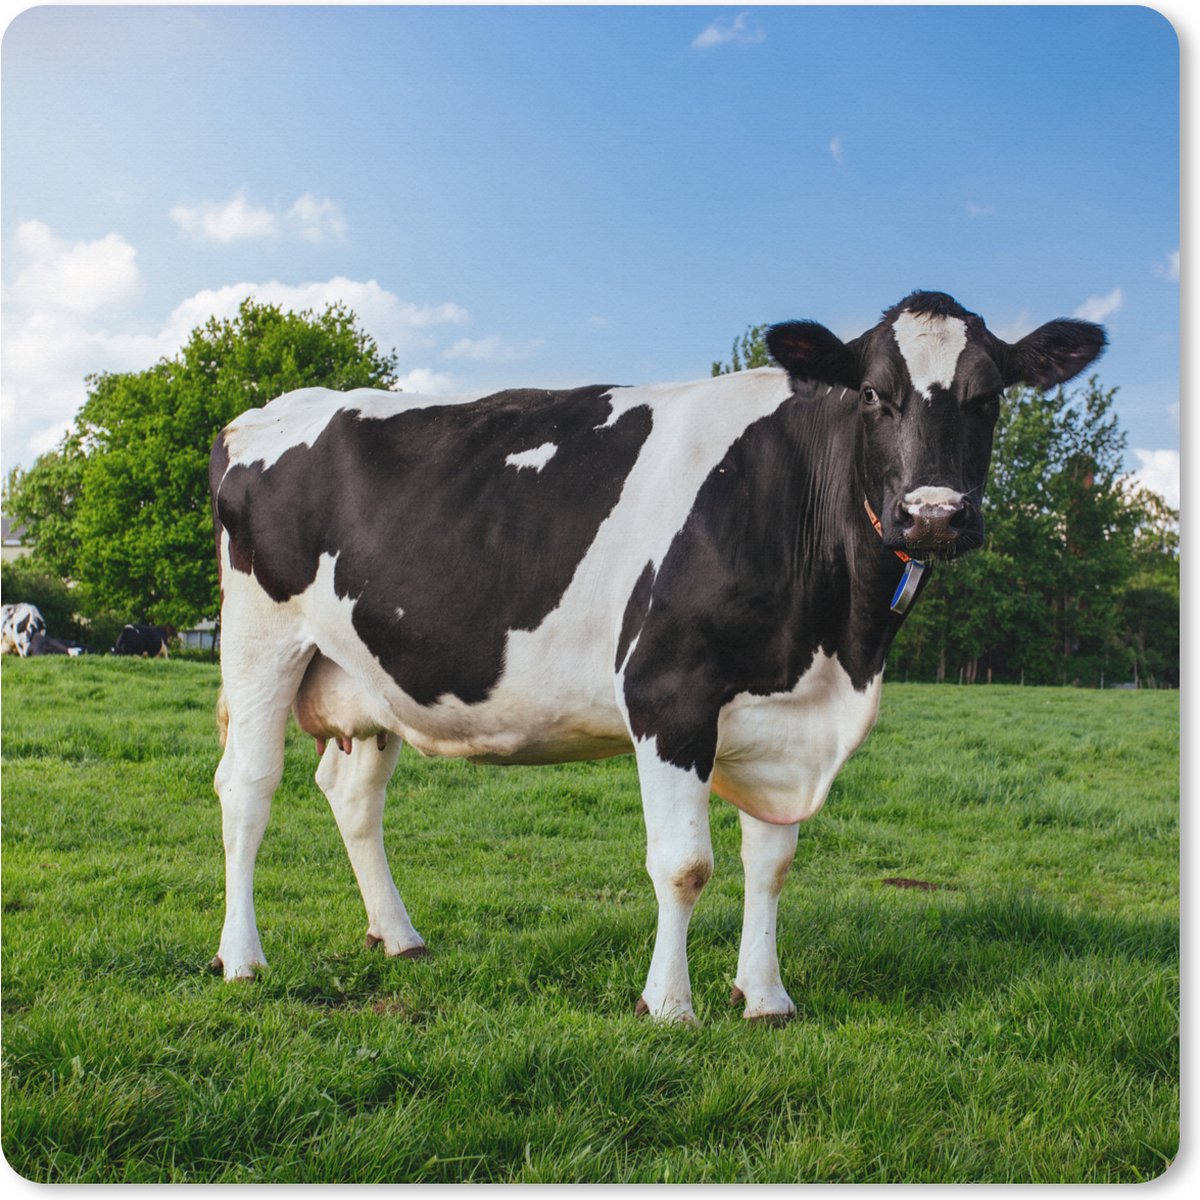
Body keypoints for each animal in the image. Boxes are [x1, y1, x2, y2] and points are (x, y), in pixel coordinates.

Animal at [209, 291, 1105, 1021]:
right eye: (875, 395)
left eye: (989, 397)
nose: (934, 515)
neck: (837, 649)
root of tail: (264, 412)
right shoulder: (668, 693)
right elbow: (684, 865)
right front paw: (669, 1005)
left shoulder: (781, 717)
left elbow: (771, 863)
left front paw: (766, 997)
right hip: (260, 640)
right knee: (248, 786)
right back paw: (243, 958)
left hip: (370, 675)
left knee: (352, 796)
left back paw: (398, 935)